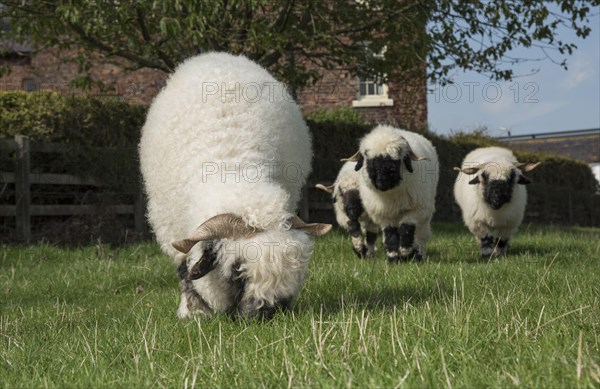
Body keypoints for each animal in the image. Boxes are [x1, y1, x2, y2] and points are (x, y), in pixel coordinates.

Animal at [139, 52, 330, 318]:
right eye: (237, 271)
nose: (267, 315)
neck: (232, 165)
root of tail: (217, 55)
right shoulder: (171, 229)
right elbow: (184, 271)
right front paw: (194, 311)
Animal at [344, 126, 438, 262]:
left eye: (397, 156)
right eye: (367, 157)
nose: (382, 181)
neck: (390, 194)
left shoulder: (416, 210)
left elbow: (406, 229)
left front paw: (405, 253)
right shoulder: (383, 214)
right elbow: (390, 234)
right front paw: (393, 257)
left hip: (425, 213)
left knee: (420, 235)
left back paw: (418, 254)